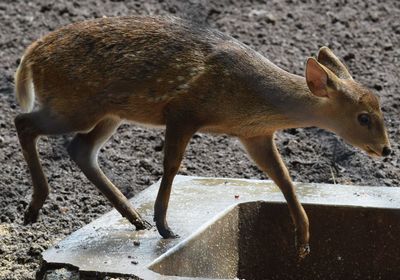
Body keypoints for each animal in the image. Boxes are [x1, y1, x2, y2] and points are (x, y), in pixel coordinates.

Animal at [14, 15, 390, 258]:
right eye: (363, 117)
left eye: (380, 106)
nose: (386, 150)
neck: (251, 100)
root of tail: (31, 55)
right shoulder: (183, 111)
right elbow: (171, 165)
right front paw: (166, 226)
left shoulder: (255, 134)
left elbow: (283, 178)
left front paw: (303, 241)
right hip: (74, 104)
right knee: (24, 122)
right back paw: (34, 207)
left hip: (109, 113)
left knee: (81, 148)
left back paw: (133, 218)